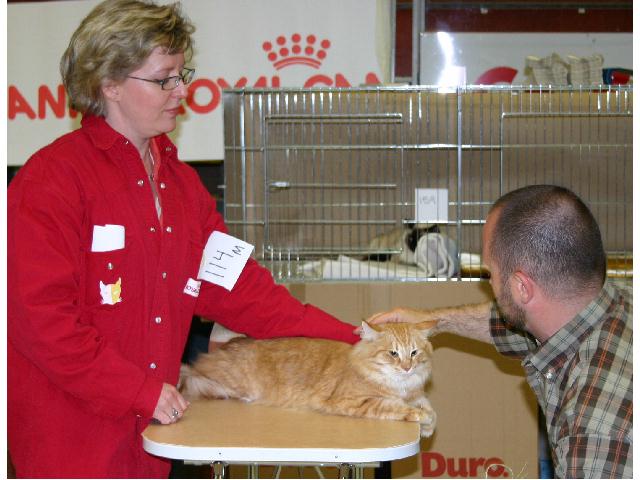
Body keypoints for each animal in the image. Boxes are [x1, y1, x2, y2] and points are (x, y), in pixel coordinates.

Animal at [179, 321, 437, 437]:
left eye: (414, 353)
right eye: (393, 353)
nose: (407, 368)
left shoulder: (415, 394)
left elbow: (430, 409)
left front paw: (428, 426)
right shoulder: (354, 401)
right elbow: (398, 407)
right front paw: (421, 418)